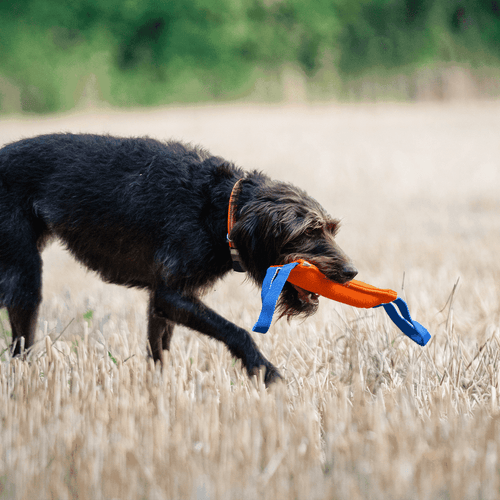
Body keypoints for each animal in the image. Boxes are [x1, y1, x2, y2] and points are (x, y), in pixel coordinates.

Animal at [0, 133, 360, 382]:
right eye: (307, 232)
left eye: (330, 229)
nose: (351, 272)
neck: (219, 209)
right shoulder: (171, 294)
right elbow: (236, 331)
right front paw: (265, 371)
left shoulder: (160, 300)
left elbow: (158, 348)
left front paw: (159, 389)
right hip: (25, 276)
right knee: (20, 341)